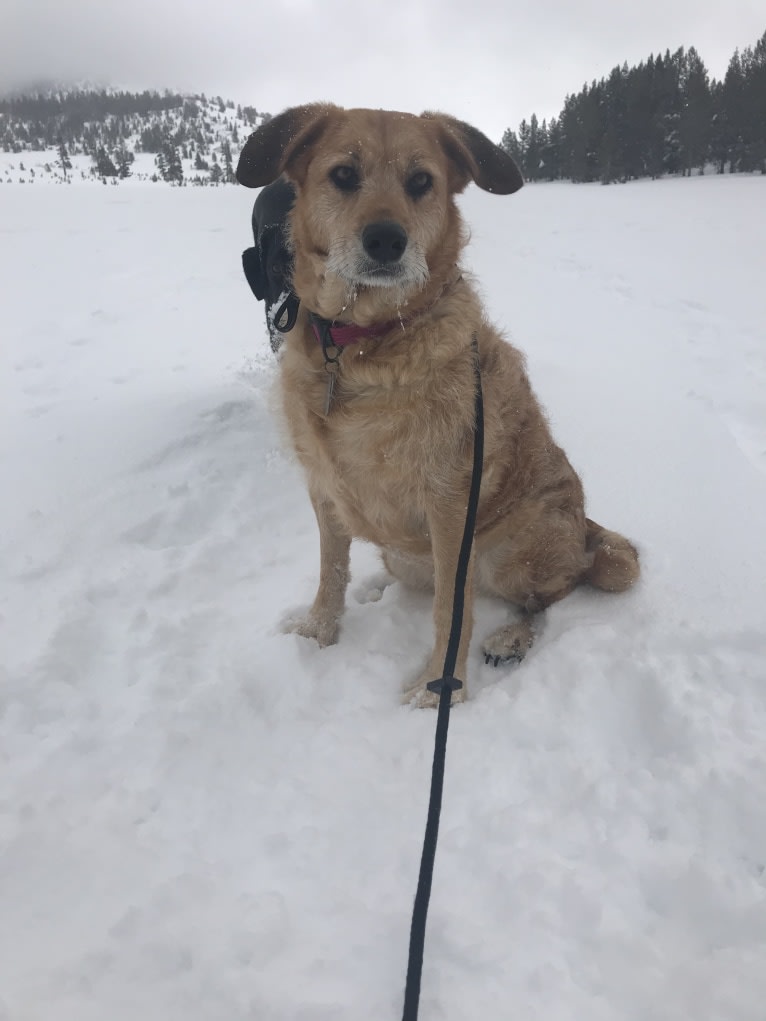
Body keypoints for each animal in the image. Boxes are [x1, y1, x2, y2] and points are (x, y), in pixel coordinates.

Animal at [235, 107, 641, 706]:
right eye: (344, 174)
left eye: (421, 181)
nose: (386, 240)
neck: (359, 347)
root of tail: (586, 529)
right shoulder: (324, 489)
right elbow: (331, 571)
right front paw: (319, 630)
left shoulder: (451, 508)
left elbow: (453, 612)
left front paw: (439, 691)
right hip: (411, 555)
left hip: (520, 551)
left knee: (554, 593)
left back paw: (512, 637)